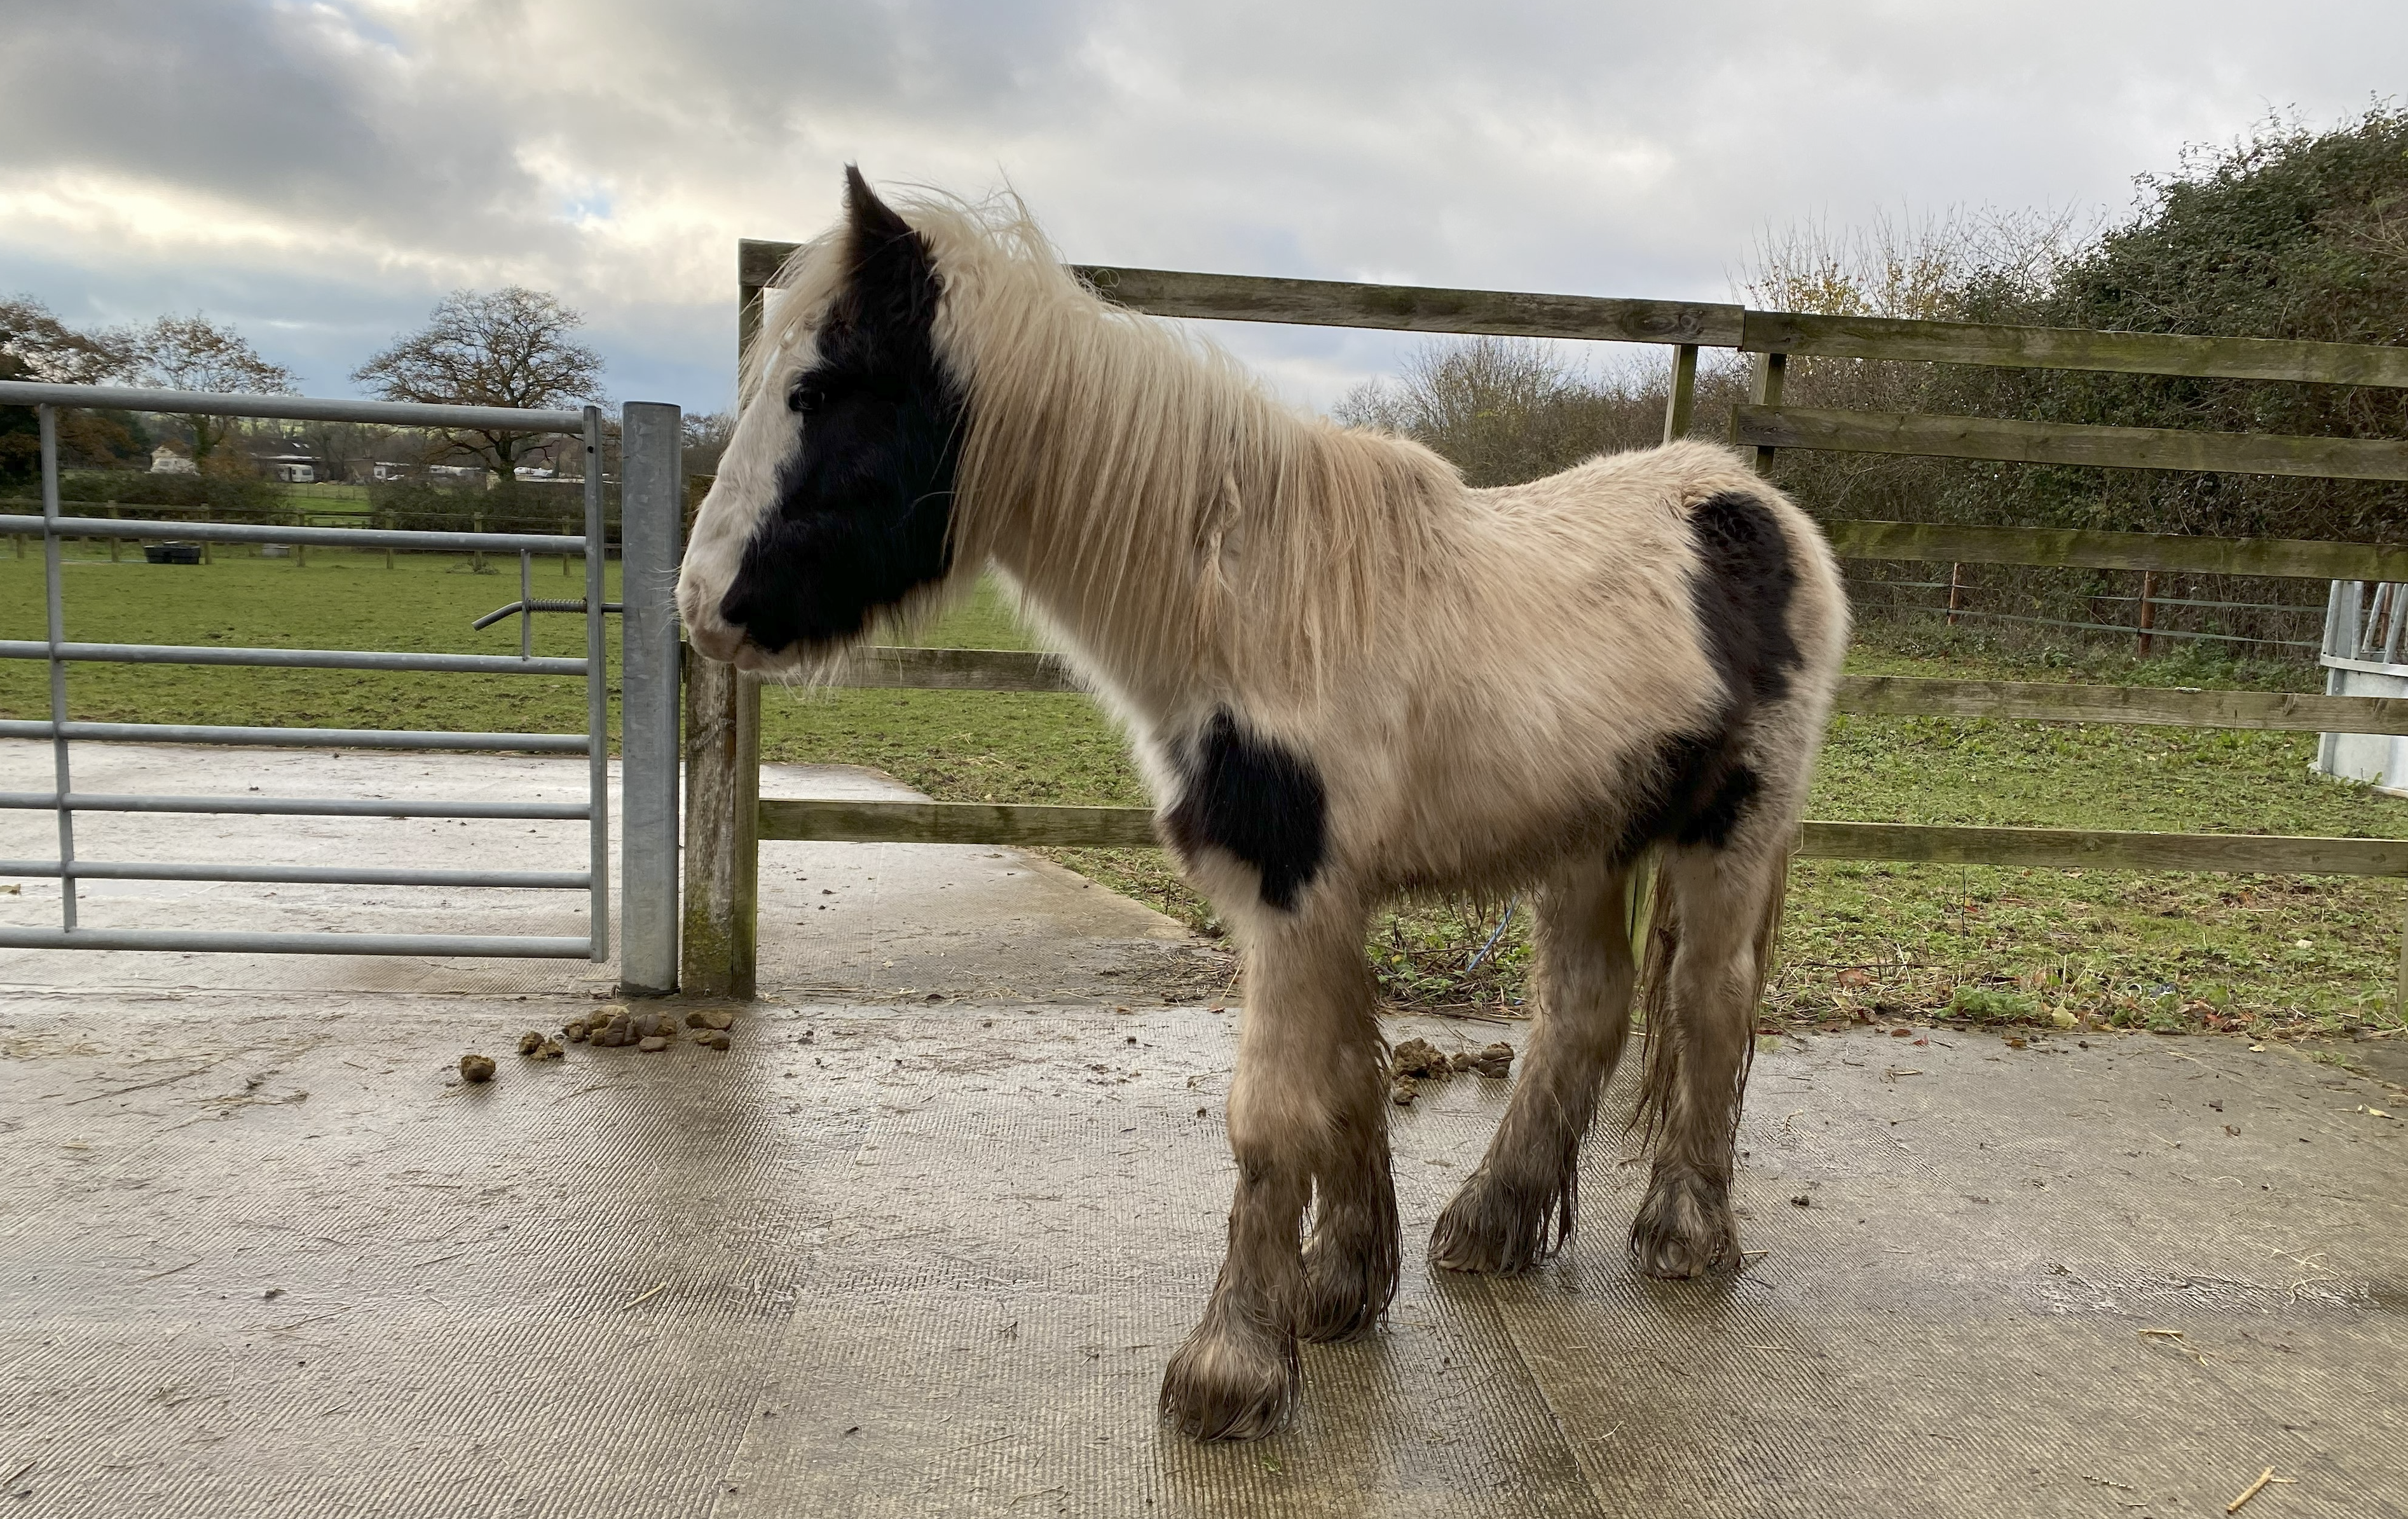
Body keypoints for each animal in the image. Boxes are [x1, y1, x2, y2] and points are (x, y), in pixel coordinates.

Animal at [678, 168, 1849, 1442]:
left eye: (820, 388)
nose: (700, 605)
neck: (1248, 610)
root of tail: (1756, 504)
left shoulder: (1295, 893)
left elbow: (1271, 1113)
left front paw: (1230, 1366)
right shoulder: (1308, 898)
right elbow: (1343, 1084)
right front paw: (1339, 1289)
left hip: (1728, 836)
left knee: (1709, 1002)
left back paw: (1684, 1235)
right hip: (1582, 842)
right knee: (1584, 1012)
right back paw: (1490, 1223)